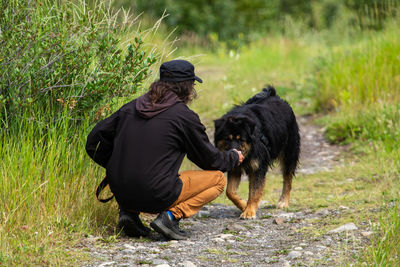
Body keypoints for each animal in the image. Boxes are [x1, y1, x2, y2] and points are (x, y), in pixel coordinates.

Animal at [214, 86, 298, 220]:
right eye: (227, 138)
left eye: (241, 139)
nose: (234, 152)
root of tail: (275, 96)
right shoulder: (236, 169)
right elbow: (230, 192)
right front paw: (244, 205)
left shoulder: (259, 167)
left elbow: (255, 191)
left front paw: (249, 211)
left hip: (289, 153)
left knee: (287, 178)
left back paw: (283, 201)